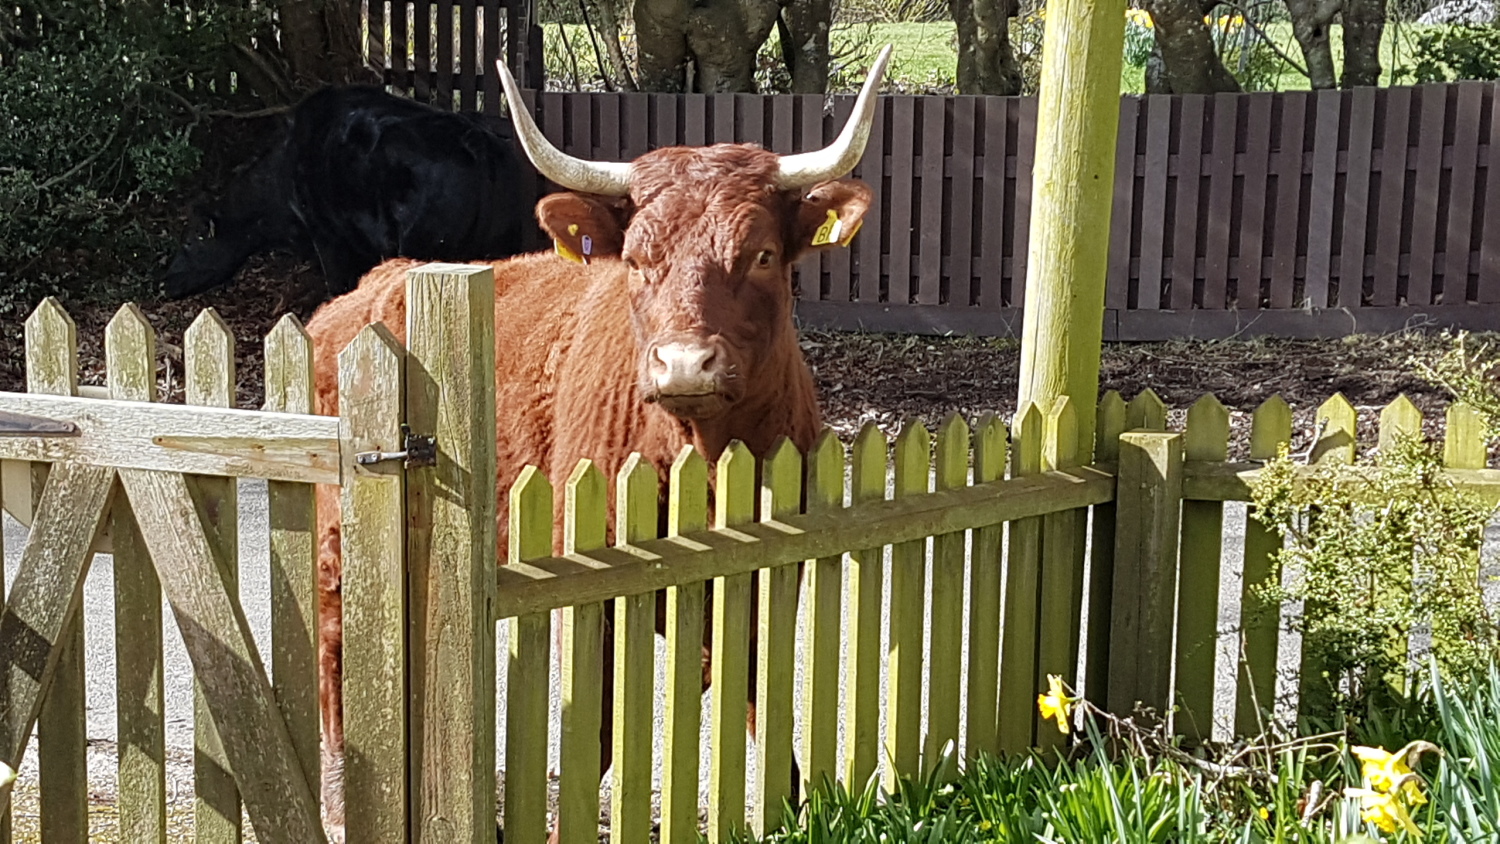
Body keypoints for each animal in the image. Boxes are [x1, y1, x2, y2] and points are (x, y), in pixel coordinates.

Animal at [305, 47, 891, 840]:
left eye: (764, 255)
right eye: (638, 259)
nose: (684, 363)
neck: (703, 460)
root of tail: (374, 285)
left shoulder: (771, 578)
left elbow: (759, 693)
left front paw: (793, 802)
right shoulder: (590, 589)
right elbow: (600, 725)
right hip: (339, 529)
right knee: (334, 644)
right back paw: (342, 802)